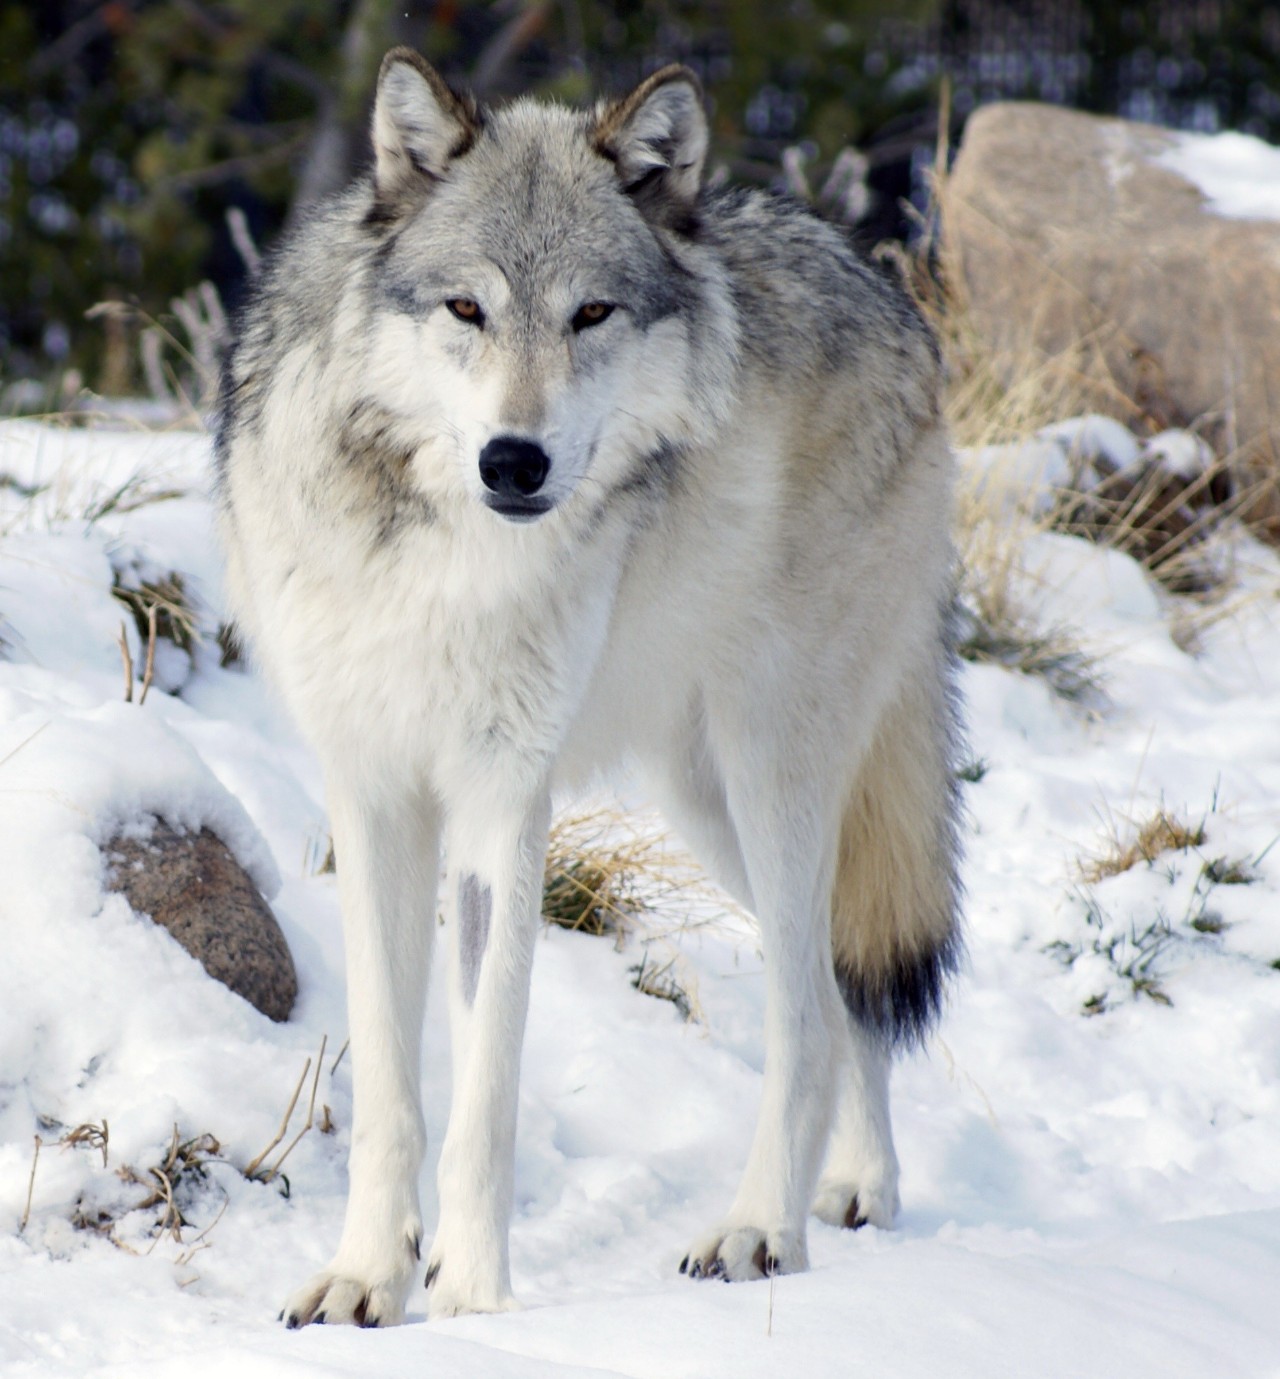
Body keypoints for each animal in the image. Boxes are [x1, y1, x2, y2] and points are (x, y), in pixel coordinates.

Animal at [220, 51, 960, 1323]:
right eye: (466, 309)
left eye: (590, 313)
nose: (513, 461)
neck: (441, 557)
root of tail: (890, 297)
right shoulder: (373, 793)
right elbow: (392, 1089)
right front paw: (367, 1279)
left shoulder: (501, 800)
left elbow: (483, 1095)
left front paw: (472, 1305)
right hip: (703, 794)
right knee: (835, 988)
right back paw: (857, 1186)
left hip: (771, 768)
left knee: (806, 1011)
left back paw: (757, 1228)